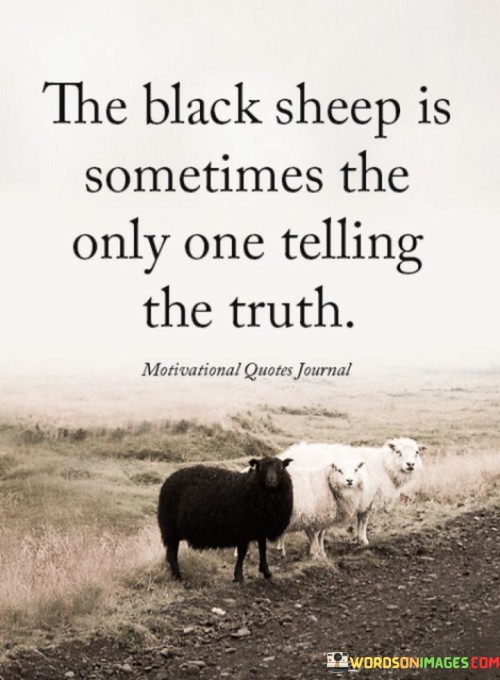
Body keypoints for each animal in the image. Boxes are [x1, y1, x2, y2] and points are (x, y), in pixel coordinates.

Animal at [157, 456, 293, 582]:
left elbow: (262, 548)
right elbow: (242, 553)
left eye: (281, 467)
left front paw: (266, 571)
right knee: (172, 554)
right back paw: (178, 577)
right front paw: (238, 576)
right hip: (170, 528)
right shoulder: (242, 530)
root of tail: (167, 481)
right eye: (260, 467)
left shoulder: (259, 527)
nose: (271, 481)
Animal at [277, 437, 425, 553]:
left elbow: (359, 519)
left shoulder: (362, 500)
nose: (410, 464)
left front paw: (358, 539)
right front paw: (364, 540)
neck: (384, 466)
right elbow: (364, 520)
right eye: (398, 452)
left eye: (417, 453)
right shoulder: (368, 500)